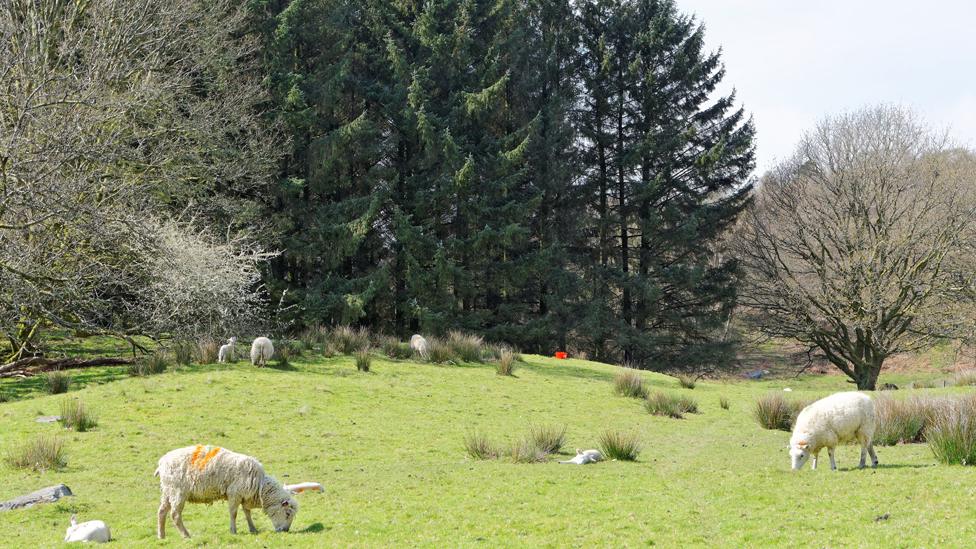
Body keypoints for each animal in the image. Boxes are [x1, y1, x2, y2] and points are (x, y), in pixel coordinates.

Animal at [154, 444, 300, 536]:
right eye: (287, 514)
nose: (285, 531)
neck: (260, 486)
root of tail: (161, 462)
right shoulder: (234, 494)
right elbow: (234, 514)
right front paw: (234, 531)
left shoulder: (244, 496)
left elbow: (247, 513)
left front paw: (253, 529)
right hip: (177, 492)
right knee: (175, 515)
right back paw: (186, 535)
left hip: (167, 491)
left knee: (161, 511)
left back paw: (161, 535)